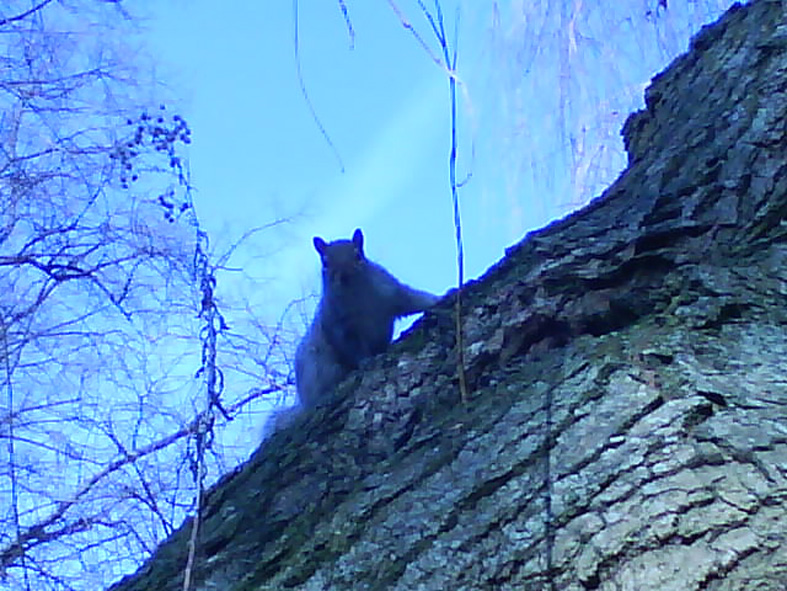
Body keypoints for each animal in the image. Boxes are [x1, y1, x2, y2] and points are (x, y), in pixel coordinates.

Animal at [295, 228, 439, 409]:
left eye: (358, 256)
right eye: (325, 263)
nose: (344, 276)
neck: (358, 295)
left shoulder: (391, 292)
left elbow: (414, 300)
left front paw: (440, 298)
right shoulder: (338, 324)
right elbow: (350, 347)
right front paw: (366, 361)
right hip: (317, 368)